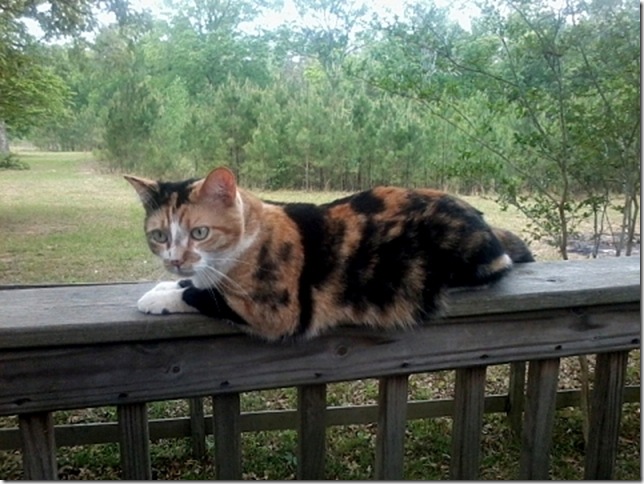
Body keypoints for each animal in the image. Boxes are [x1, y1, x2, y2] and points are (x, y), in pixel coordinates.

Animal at [127, 166, 532, 340]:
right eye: (159, 235)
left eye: (200, 232)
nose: (174, 260)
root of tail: (483, 221)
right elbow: (195, 284)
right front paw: (168, 285)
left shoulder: (276, 311)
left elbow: (204, 295)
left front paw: (158, 298)